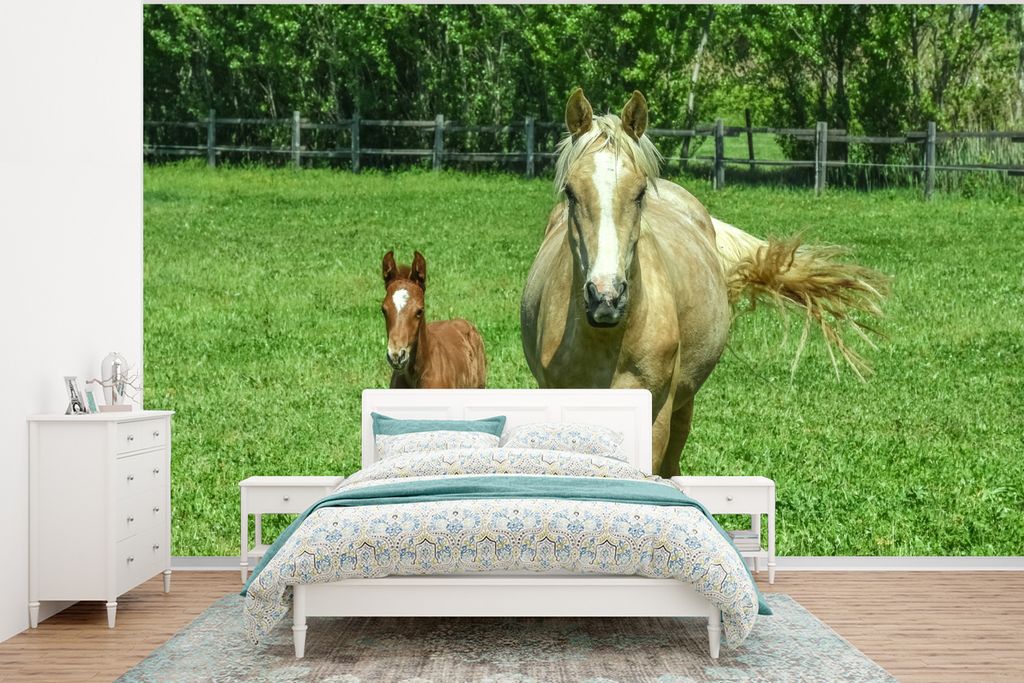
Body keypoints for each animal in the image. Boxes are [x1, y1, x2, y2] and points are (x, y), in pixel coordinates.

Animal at [521, 88, 888, 478]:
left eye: (639, 193)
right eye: (571, 192)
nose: (606, 297)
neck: (606, 343)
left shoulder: (656, 416)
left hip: (684, 401)